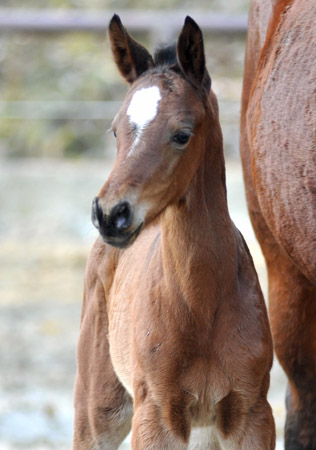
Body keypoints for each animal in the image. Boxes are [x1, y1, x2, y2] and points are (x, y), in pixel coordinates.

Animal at [73, 14, 274, 450]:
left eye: (182, 134)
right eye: (116, 131)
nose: (110, 214)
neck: (200, 304)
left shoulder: (252, 413)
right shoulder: (155, 415)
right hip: (98, 407)